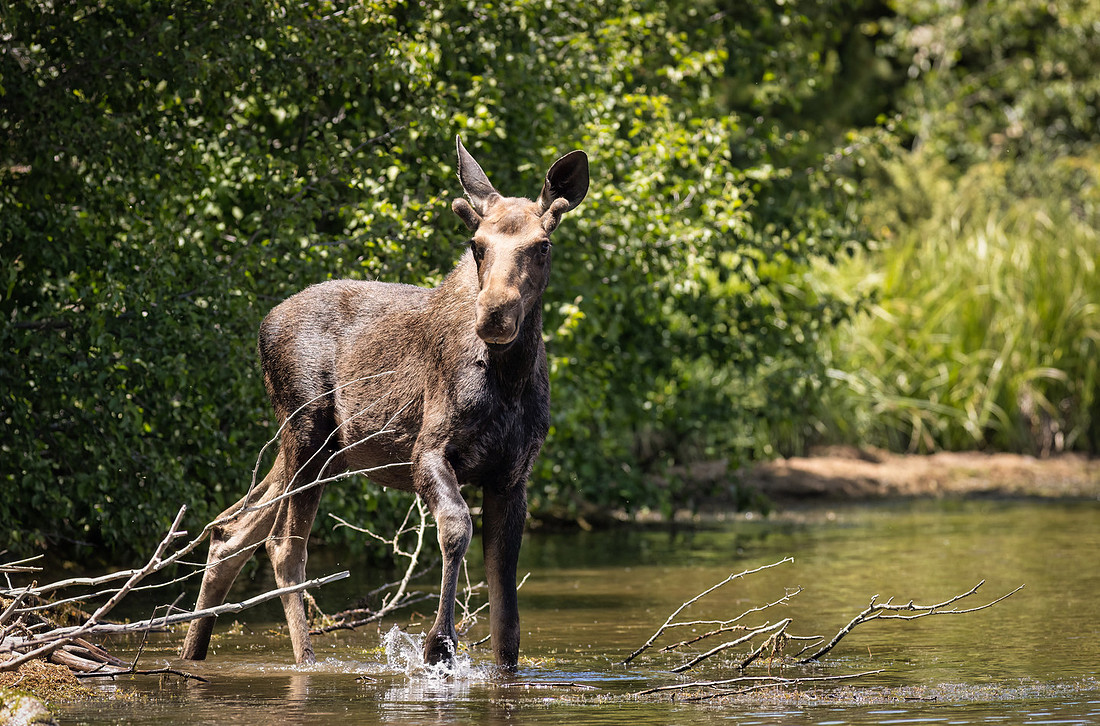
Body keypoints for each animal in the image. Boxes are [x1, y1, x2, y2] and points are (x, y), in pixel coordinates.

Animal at [179, 136, 589, 670]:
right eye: (476, 245)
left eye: (542, 245)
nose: (495, 315)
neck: (510, 378)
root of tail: (262, 326)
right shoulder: (428, 450)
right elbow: (455, 527)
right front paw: (438, 645)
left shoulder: (513, 475)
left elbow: (507, 615)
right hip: (307, 432)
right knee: (283, 544)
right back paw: (306, 660)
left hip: (323, 452)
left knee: (230, 531)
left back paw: (193, 652)